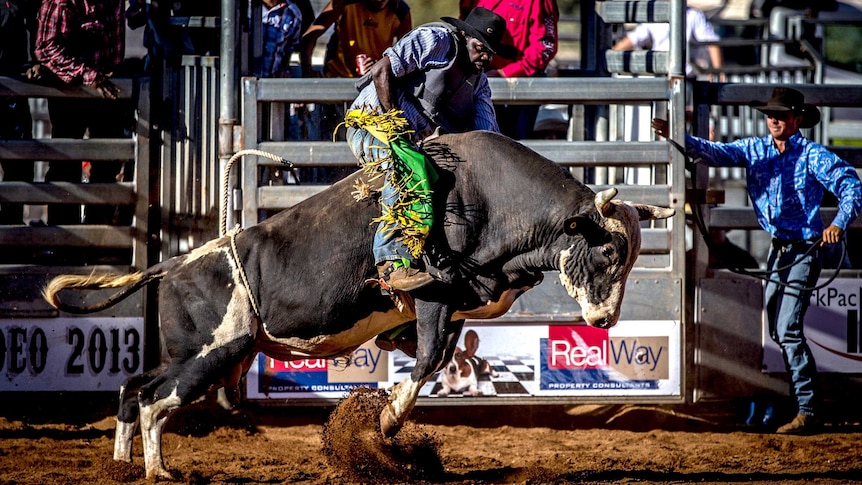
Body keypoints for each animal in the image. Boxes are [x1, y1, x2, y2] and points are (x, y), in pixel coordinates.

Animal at [42, 130, 676, 478]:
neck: (494, 202)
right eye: (608, 253)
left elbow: (435, 355)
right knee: (154, 400)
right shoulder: (435, 295)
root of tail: (174, 264)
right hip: (213, 353)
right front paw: (387, 421)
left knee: (135, 386)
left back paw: (124, 463)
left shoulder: (457, 307)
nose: (605, 320)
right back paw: (159, 469)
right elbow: (426, 361)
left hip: (199, 354)